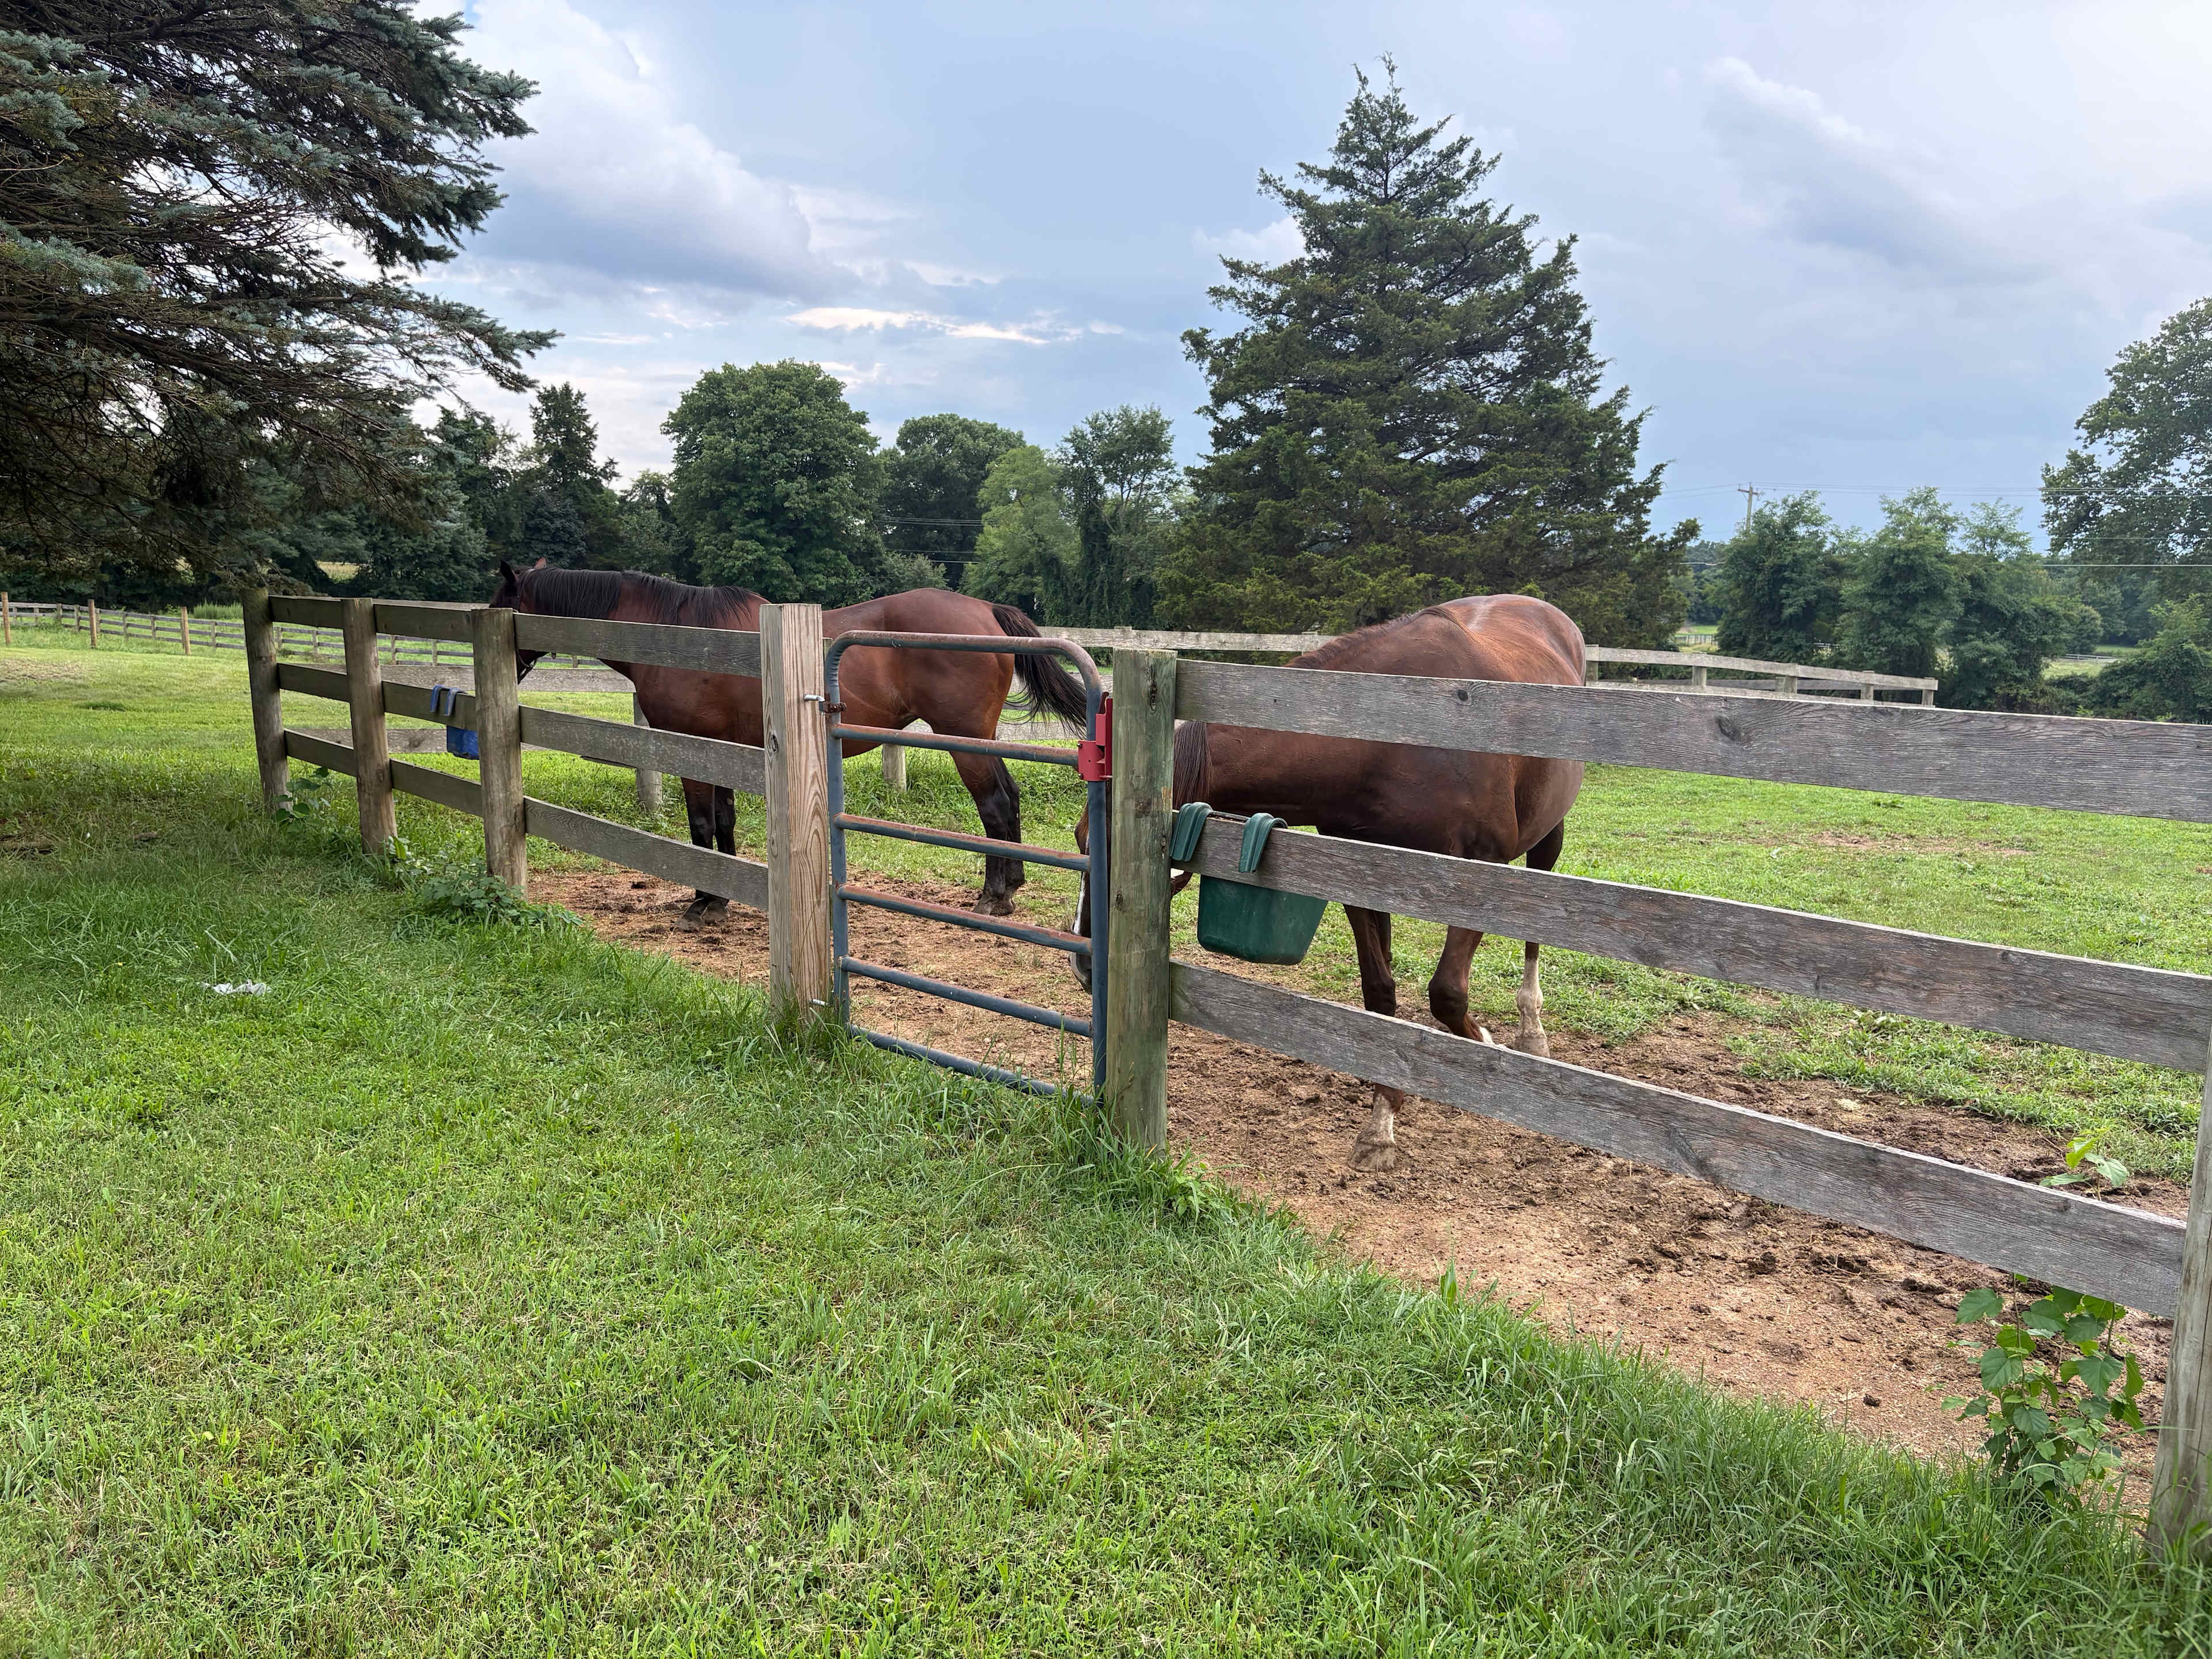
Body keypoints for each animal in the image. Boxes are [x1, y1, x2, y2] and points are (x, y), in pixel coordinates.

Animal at [487, 562, 1091, 926]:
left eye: (502, 601)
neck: (677, 636)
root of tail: (985, 611)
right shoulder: (726, 750)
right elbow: (724, 823)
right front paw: (720, 896)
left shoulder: (695, 749)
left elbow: (701, 825)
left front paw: (704, 901)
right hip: (980, 739)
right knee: (1008, 801)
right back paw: (1011, 886)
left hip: (964, 739)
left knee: (994, 805)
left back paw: (992, 896)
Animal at [1075, 594, 1585, 1172]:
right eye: (1080, 839)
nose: (1087, 963)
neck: (1391, 740)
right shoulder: (1359, 872)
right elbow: (1380, 993)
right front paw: (1383, 1119)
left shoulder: (1482, 872)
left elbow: (1448, 995)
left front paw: (1483, 1044)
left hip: (1548, 839)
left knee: (1535, 928)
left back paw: (1531, 1031)